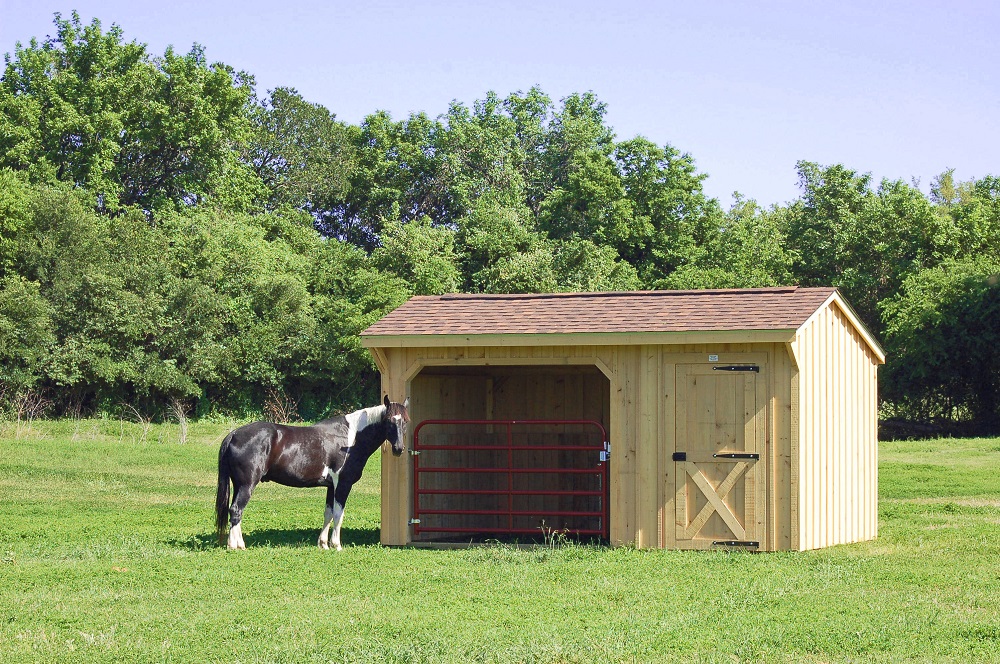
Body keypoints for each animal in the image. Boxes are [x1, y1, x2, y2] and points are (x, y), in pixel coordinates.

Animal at [216, 394, 410, 548]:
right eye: (389, 421)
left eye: (405, 421)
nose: (398, 448)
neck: (351, 438)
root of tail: (234, 434)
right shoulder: (343, 484)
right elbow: (339, 513)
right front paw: (336, 545)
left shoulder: (331, 486)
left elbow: (328, 513)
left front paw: (323, 544)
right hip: (247, 485)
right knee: (236, 510)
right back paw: (235, 546)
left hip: (239, 485)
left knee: (235, 511)